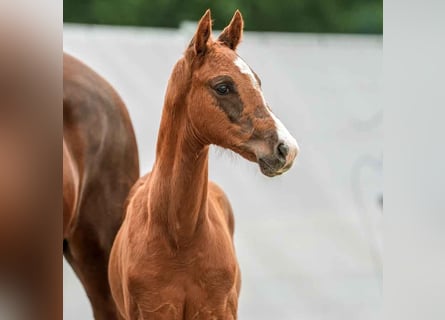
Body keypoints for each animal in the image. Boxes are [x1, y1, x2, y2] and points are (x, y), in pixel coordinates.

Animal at [107, 10, 298, 320]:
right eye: (223, 86)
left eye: (258, 81)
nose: (287, 148)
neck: (180, 236)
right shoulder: (153, 311)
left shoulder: (216, 311)